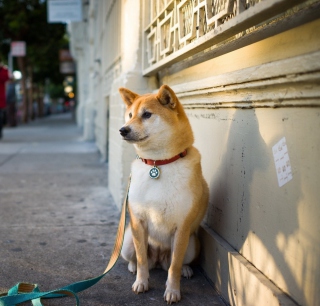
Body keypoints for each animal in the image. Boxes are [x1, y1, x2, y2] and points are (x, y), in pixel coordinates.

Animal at [119, 84, 209, 304]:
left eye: (147, 114)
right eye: (130, 115)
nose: (123, 129)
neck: (158, 164)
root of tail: (159, 259)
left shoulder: (182, 228)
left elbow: (174, 266)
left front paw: (173, 291)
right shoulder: (139, 222)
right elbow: (142, 259)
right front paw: (141, 282)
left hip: (192, 244)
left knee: (176, 263)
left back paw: (186, 269)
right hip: (127, 241)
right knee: (137, 258)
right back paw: (133, 267)